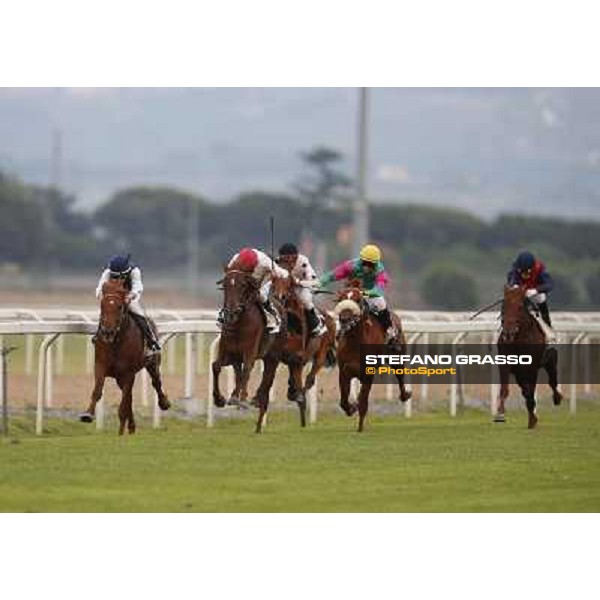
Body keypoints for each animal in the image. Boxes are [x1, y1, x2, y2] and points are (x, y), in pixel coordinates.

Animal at [78, 278, 170, 434]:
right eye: (102, 305)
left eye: (120, 306)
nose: (107, 332)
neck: (116, 342)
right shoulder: (101, 366)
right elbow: (98, 391)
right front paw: (87, 414)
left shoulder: (128, 373)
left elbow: (123, 406)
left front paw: (120, 433)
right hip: (120, 377)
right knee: (129, 398)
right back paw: (131, 426)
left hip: (152, 362)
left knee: (156, 382)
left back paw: (164, 403)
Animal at [332, 286, 412, 432]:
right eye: (341, 299)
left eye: (357, 300)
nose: (344, 319)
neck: (355, 342)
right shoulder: (344, 372)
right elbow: (344, 401)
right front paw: (352, 407)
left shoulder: (368, 374)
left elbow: (363, 402)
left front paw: (360, 428)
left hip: (397, 356)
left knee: (400, 376)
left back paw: (405, 395)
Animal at [496, 284, 564, 428]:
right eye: (504, 306)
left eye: (520, 307)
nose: (508, 332)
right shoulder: (505, 364)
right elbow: (505, 389)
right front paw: (500, 414)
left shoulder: (531, 368)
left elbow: (530, 391)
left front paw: (532, 419)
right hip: (519, 373)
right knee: (525, 389)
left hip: (551, 361)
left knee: (552, 381)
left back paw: (557, 398)